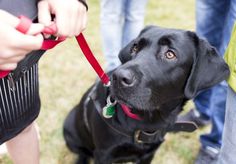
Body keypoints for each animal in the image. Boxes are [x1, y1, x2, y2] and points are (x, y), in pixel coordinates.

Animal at [63, 26, 230, 163]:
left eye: (170, 54)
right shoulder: (104, 154)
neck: (148, 121)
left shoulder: (149, 154)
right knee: (82, 153)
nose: (118, 77)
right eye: (135, 47)